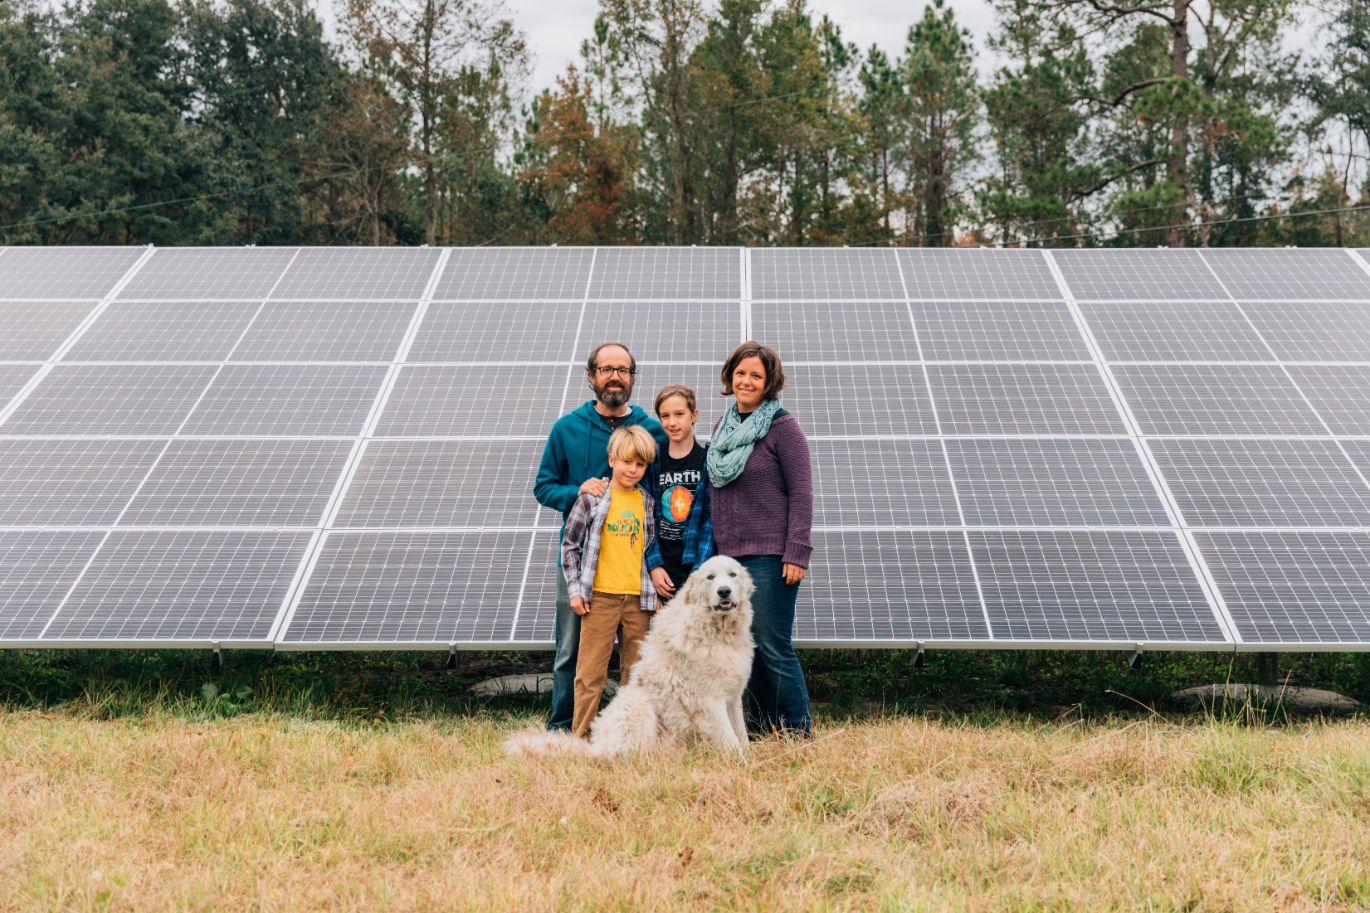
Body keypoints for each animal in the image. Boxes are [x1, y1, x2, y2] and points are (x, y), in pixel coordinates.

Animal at [506, 553, 756, 762]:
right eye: (710, 577)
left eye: (732, 574)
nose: (724, 591)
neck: (718, 631)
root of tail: (595, 748)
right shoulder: (708, 701)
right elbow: (731, 740)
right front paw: (743, 765)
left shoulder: (732, 697)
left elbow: (741, 734)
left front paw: (751, 760)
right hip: (639, 705)